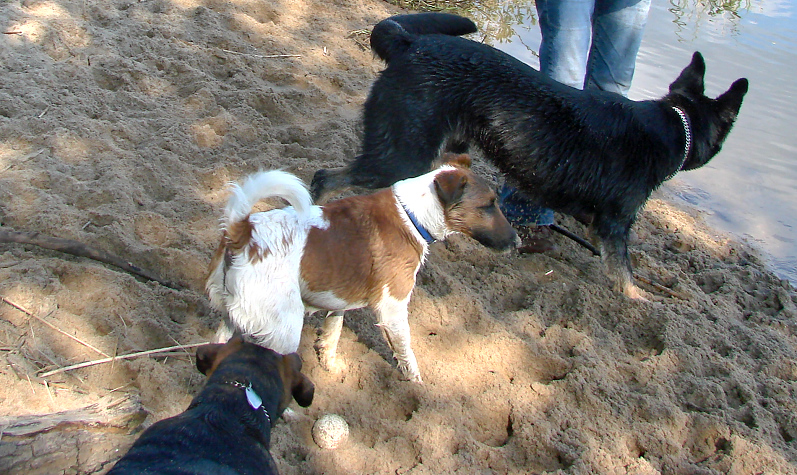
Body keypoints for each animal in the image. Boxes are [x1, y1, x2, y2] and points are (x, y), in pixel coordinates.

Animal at [205, 155, 516, 384]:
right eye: (488, 205)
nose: (517, 241)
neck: (411, 214)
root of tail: (242, 232)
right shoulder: (393, 310)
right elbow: (406, 354)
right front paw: (417, 387)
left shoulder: (338, 302)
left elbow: (332, 336)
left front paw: (330, 366)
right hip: (285, 328)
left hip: (231, 317)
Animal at [310, 13, 748, 300]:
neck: (674, 124)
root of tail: (410, 42)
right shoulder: (616, 225)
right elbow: (624, 274)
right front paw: (639, 300)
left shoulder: (602, 226)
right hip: (402, 156)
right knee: (325, 178)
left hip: (432, 155)